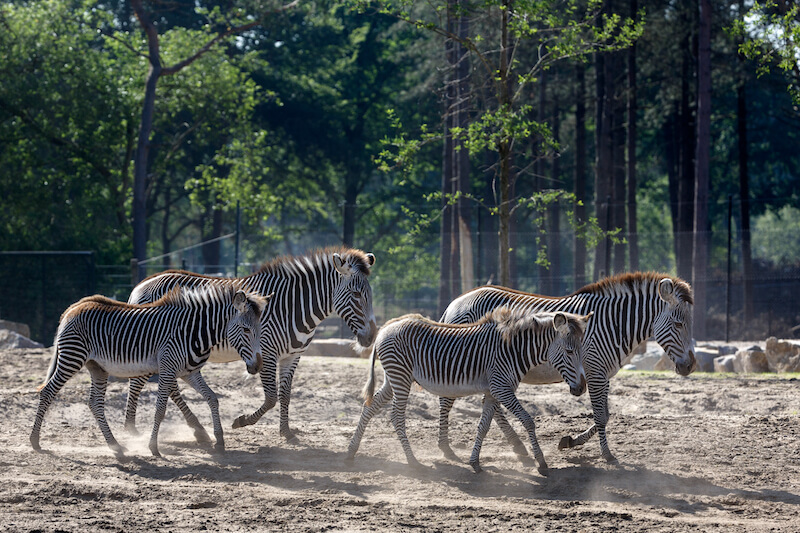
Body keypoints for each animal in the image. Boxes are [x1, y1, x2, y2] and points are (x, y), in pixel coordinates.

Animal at [30, 284, 268, 456]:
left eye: (259, 329)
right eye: (246, 330)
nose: (257, 366)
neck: (193, 331)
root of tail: (74, 307)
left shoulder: (189, 372)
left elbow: (212, 398)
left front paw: (219, 440)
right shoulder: (168, 368)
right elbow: (160, 410)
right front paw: (153, 448)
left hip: (97, 367)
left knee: (95, 403)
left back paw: (115, 446)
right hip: (72, 358)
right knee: (48, 392)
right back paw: (35, 441)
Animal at [126, 249, 376, 440]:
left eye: (370, 294)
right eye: (356, 294)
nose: (372, 336)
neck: (293, 307)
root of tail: (142, 284)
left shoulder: (293, 356)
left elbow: (285, 394)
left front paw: (286, 432)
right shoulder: (266, 352)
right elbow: (271, 397)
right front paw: (242, 421)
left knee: (171, 386)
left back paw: (196, 428)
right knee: (139, 382)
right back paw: (131, 429)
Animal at [346, 306, 592, 476]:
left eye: (581, 351)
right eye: (570, 351)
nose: (581, 388)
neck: (513, 349)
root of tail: (388, 325)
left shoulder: (493, 392)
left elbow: (483, 427)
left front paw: (475, 462)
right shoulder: (502, 388)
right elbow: (528, 420)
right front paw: (541, 462)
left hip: (394, 378)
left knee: (369, 407)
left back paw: (351, 451)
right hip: (401, 378)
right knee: (396, 417)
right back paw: (412, 461)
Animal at [438, 272, 692, 464]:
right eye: (679, 324)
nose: (690, 366)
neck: (612, 324)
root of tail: (455, 303)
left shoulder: (604, 375)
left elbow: (606, 415)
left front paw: (570, 441)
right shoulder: (595, 373)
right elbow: (601, 416)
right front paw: (607, 455)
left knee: (491, 404)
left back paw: (518, 446)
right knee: (447, 398)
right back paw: (445, 448)